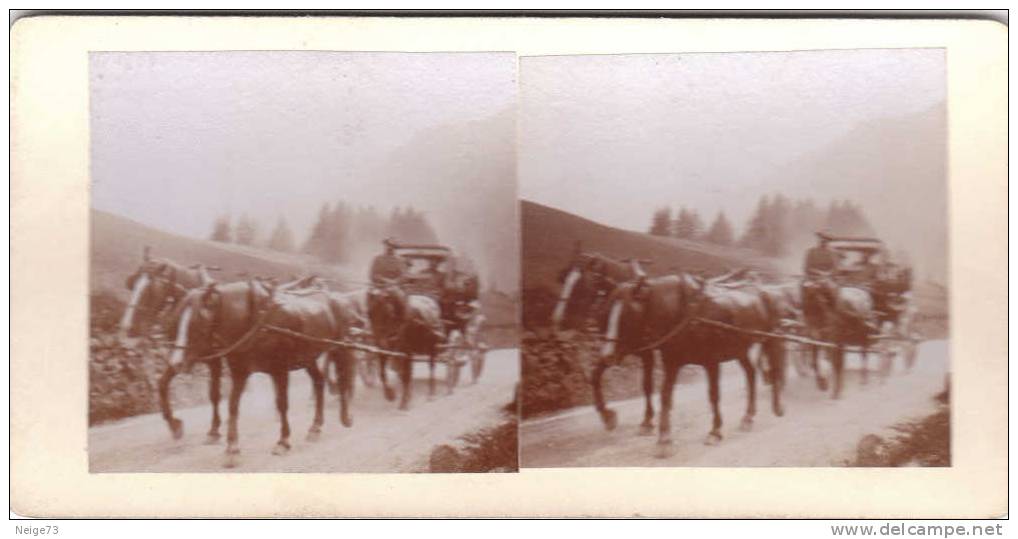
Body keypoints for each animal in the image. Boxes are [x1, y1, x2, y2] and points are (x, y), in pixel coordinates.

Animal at [163, 279, 358, 464]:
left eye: (197, 323)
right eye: (176, 320)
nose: (176, 363)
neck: (256, 319)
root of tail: (337, 299)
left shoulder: (280, 370)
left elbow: (282, 404)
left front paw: (283, 442)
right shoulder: (240, 372)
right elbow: (232, 406)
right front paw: (232, 449)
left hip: (340, 347)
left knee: (343, 378)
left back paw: (345, 416)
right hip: (308, 357)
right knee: (319, 381)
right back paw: (316, 427)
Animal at [594, 273, 785, 454]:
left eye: (627, 315)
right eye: (605, 313)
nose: (607, 355)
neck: (686, 313)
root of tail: (764, 291)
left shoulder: (711, 362)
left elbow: (713, 395)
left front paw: (715, 431)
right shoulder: (671, 362)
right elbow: (664, 396)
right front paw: (664, 440)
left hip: (769, 339)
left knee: (773, 369)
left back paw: (774, 407)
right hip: (740, 350)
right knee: (751, 373)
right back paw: (748, 417)